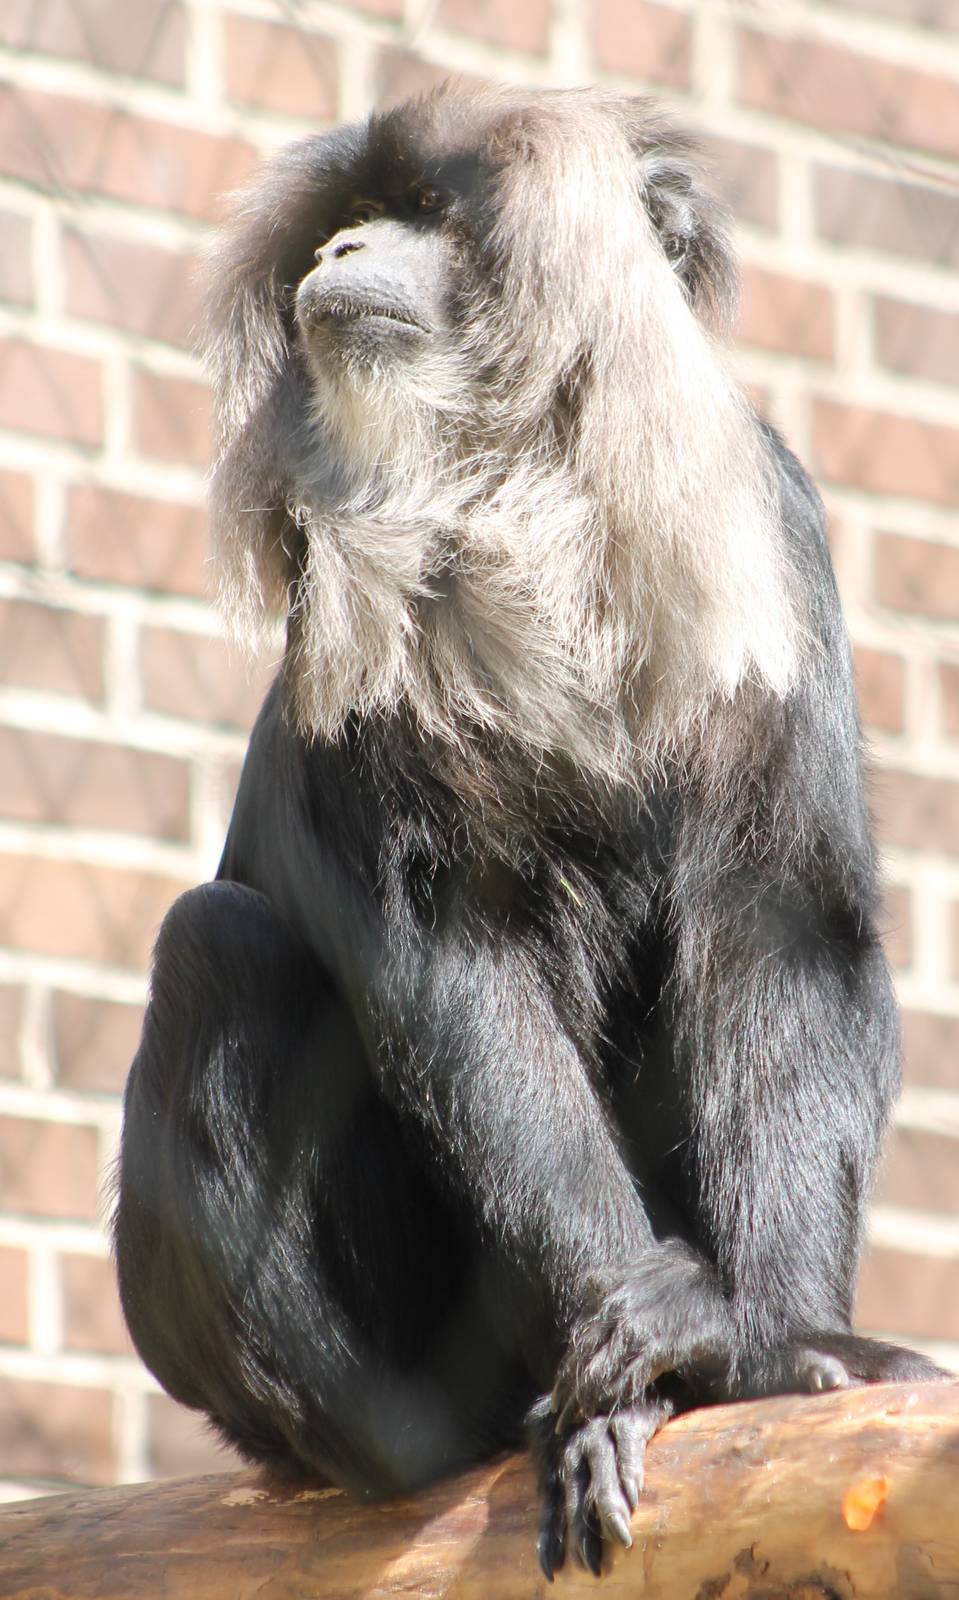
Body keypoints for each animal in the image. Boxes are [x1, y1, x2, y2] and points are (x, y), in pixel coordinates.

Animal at [113, 82, 950, 1579]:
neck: (519, 491)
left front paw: (771, 1351)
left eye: (423, 214)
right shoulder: (353, 606)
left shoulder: (767, 520)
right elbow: (453, 966)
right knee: (216, 951)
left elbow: (785, 928)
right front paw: (653, 1359)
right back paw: (440, 1436)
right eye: (345, 224)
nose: (342, 258)